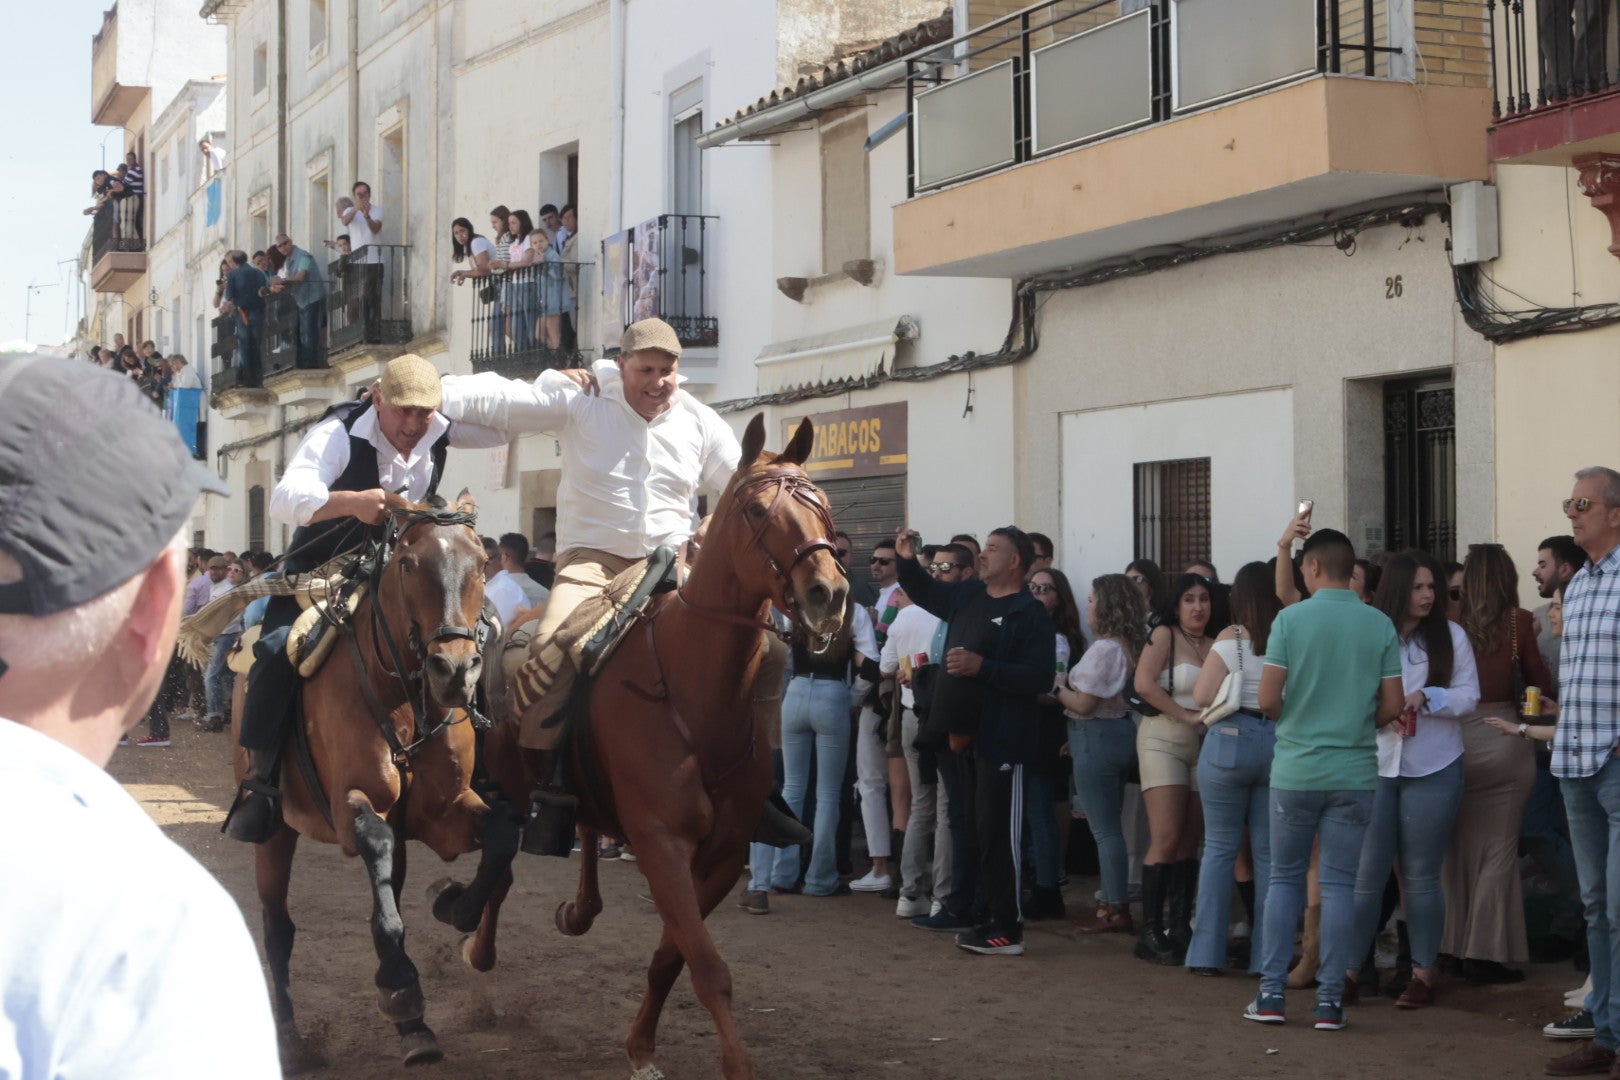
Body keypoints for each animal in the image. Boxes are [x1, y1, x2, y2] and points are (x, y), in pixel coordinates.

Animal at [239, 495, 521, 1062]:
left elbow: (503, 834)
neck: (404, 701)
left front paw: (454, 904)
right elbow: (378, 866)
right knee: (278, 928)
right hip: (275, 832)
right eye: (408, 564)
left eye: (483, 563)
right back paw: (292, 1040)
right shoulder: (355, 806)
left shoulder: (444, 810)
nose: (455, 672)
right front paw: (400, 985)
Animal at [437, 409, 855, 1075]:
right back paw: (479, 944)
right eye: (755, 510)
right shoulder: (662, 845)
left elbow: (673, 958)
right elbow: (708, 967)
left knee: (582, 828)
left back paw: (577, 909)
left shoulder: (722, 854)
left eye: (824, 504)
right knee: (502, 866)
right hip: (512, 786)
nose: (828, 594)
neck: (694, 688)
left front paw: (640, 1048)